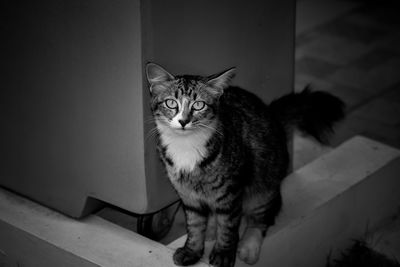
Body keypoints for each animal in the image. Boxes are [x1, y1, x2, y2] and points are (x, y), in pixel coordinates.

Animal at [145, 63, 346, 267]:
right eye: (171, 103)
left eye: (199, 105)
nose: (184, 121)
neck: (186, 145)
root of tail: (273, 117)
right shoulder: (188, 195)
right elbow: (195, 226)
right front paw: (191, 251)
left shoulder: (231, 192)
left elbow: (228, 228)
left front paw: (223, 254)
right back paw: (211, 230)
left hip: (262, 189)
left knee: (263, 217)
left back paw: (249, 246)